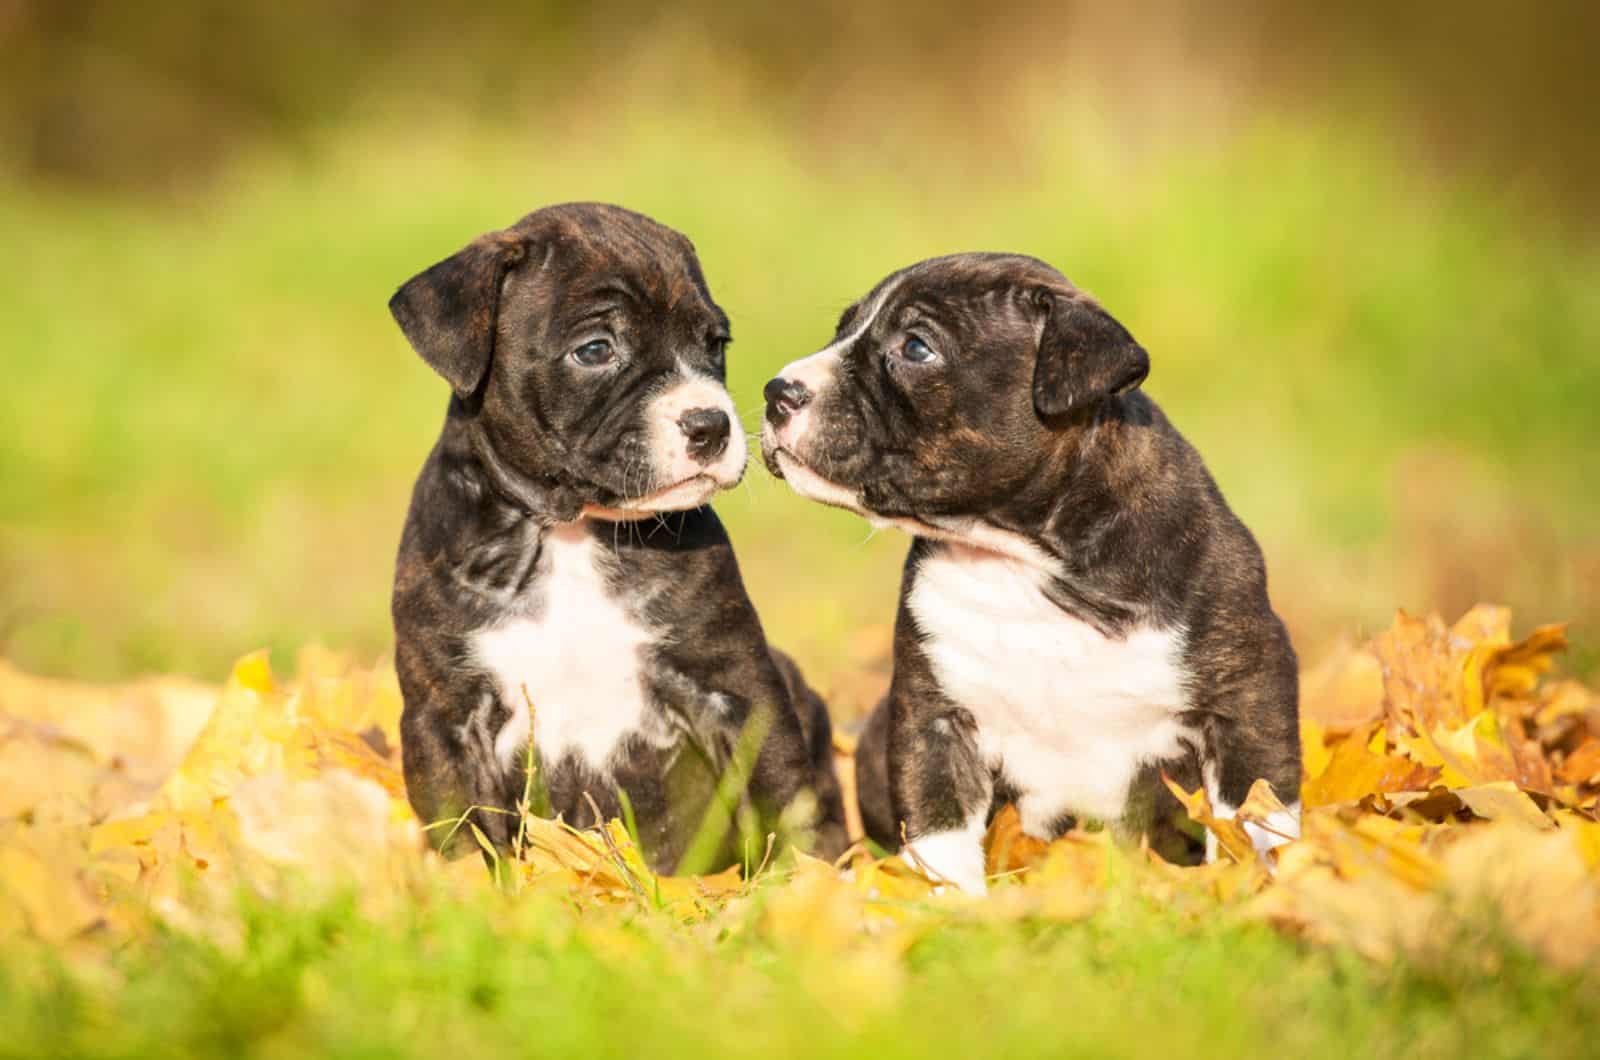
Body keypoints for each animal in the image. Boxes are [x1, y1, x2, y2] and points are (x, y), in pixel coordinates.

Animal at [390, 203, 851, 877]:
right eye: (595, 350)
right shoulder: (446, 717)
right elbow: (465, 839)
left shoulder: (735, 686)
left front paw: (814, 884)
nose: (710, 423)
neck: (569, 530)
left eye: (715, 344)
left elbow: (785, 796)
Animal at [761, 252, 1299, 890]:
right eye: (842, 330)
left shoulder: (1248, 694)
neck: (1020, 558)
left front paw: (1264, 883)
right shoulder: (936, 718)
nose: (777, 391)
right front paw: (948, 903)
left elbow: (1257, 812)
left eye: (916, 347)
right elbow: (940, 831)